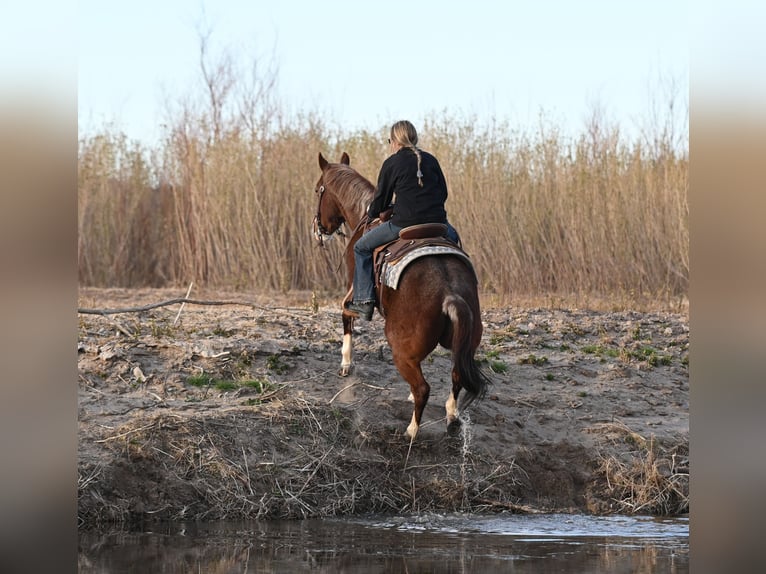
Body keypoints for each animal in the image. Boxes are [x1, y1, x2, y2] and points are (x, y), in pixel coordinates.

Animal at [312, 153, 492, 440]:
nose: (318, 230)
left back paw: (411, 431)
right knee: (455, 377)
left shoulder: (353, 287)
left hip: (400, 348)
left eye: (319, 189)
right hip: (464, 344)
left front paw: (346, 363)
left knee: (423, 389)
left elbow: (346, 315)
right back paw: (451, 416)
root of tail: (451, 294)